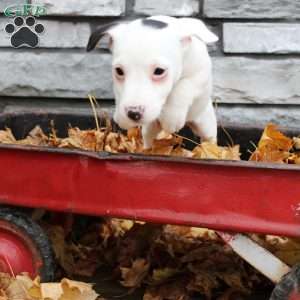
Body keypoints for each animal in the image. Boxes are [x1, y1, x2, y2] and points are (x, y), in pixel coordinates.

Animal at [86, 15, 218, 149]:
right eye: (119, 71)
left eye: (159, 71)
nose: (133, 113)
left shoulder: (200, 74)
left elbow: (183, 87)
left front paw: (172, 118)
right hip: (149, 129)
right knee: (148, 141)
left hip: (206, 125)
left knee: (209, 139)